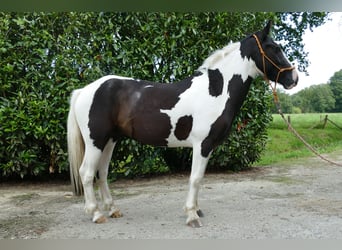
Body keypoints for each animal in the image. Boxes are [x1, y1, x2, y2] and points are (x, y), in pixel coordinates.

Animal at [66, 21, 296, 229]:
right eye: (274, 48)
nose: (294, 78)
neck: (216, 90)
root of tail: (85, 90)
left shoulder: (207, 147)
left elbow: (199, 179)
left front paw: (196, 210)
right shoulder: (202, 145)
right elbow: (195, 179)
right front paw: (192, 216)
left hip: (110, 140)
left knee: (102, 173)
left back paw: (113, 209)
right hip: (96, 141)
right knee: (87, 172)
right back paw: (96, 214)